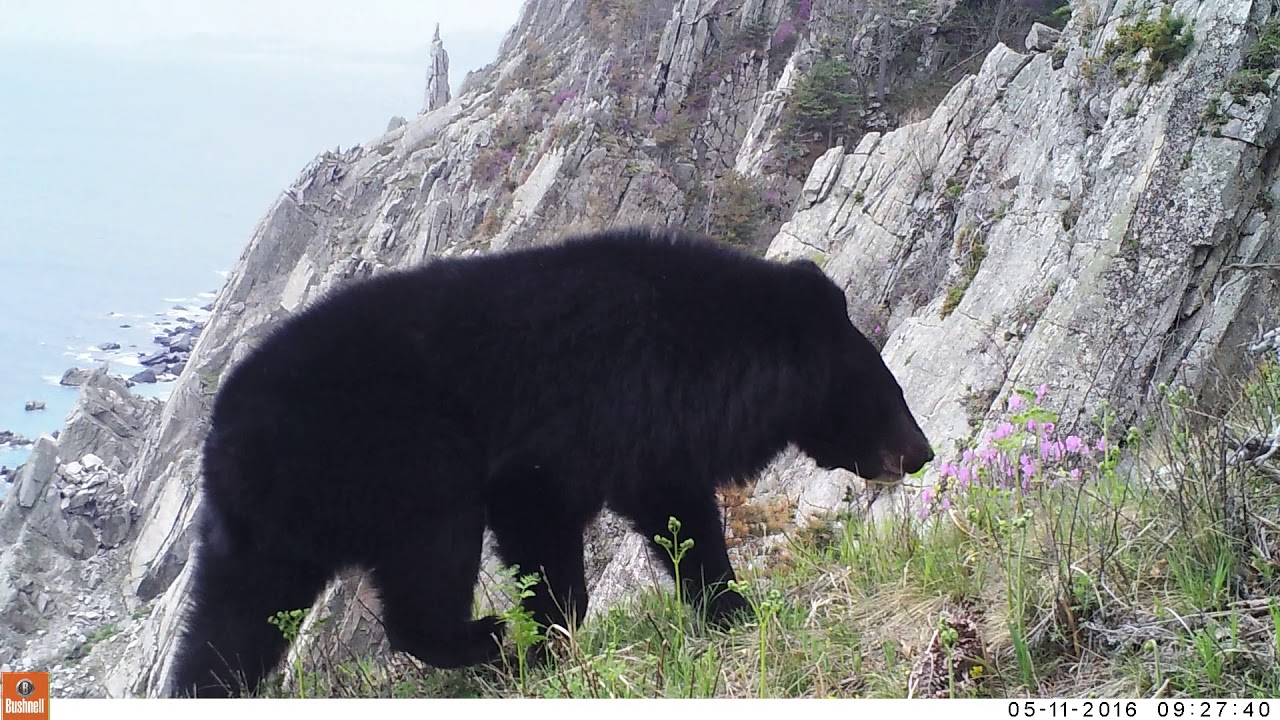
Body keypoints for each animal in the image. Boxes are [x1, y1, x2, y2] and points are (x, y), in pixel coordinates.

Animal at [167, 225, 931, 696]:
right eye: (890, 391)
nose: (921, 453)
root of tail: (225, 432)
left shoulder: (647, 435)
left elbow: (676, 513)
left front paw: (726, 606)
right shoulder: (581, 417)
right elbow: (550, 523)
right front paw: (547, 639)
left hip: (259, 533)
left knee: (228, 627)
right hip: (400, 463)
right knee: (427, 563)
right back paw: (484, 638)